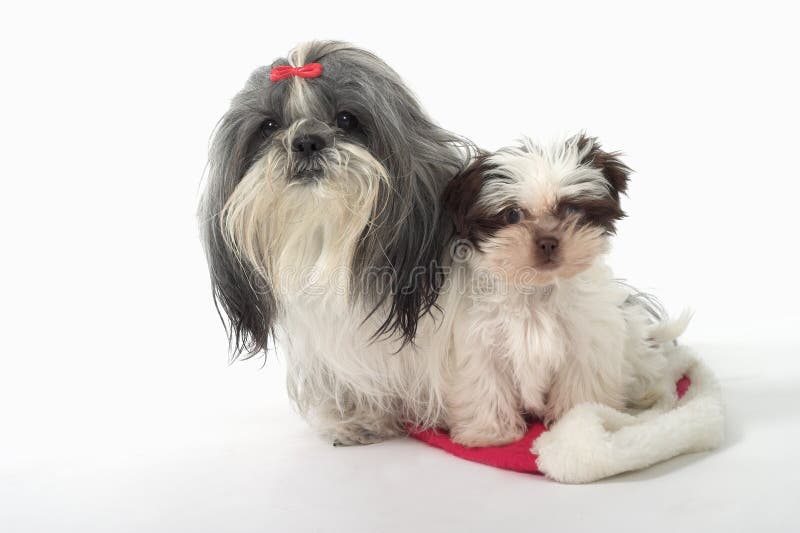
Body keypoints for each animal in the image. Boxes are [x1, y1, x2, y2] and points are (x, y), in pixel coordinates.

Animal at [440, 135, 684, 446]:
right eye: (512, 215)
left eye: (571, 210)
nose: (547, 241)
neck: (538, 290)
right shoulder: (483, 345)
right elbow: (488, 386)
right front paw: (490, 432)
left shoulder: (587, 343)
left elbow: (579, 385)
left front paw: (577, 424)